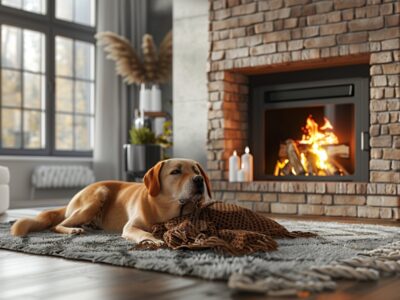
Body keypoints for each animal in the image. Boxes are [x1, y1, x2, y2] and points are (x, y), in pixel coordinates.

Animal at [9, 158, 211, 245]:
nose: (199, 179)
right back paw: (73, 229)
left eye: (196, 170)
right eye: (176, 171)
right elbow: (143, 232)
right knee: (57, 225)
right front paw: (154, 239)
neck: (165, 209)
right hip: (97, 196)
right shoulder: (130, 227)